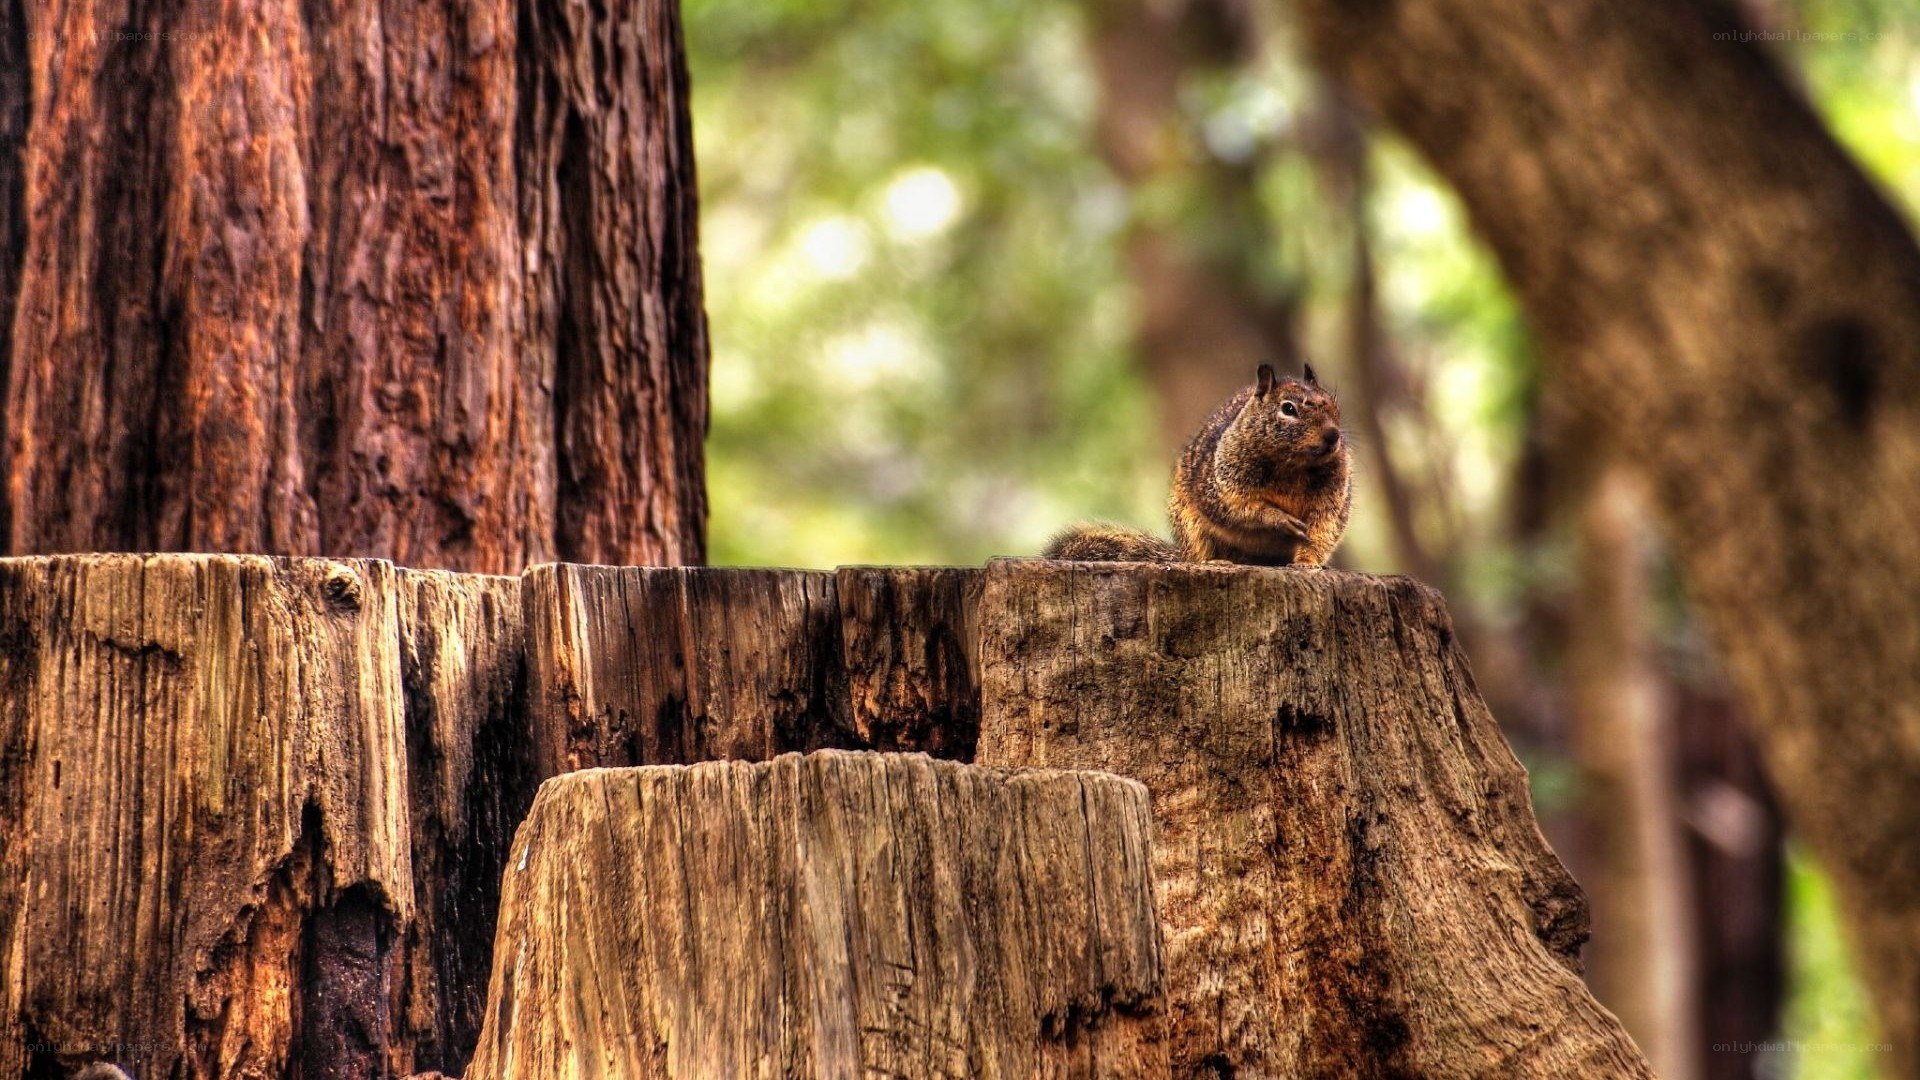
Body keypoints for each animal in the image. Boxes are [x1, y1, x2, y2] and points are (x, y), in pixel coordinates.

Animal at [1045, 362, 1352, 567]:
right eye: (1288, 408)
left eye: (1335, 406)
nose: (1333, 435)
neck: (1293, 465)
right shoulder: (1222, 482)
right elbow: (1239, 508)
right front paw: (1278, 518)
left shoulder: (1332, 498)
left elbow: (1321, 530)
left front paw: (1308, 563)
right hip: (1191, 527)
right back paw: (1216, 562)